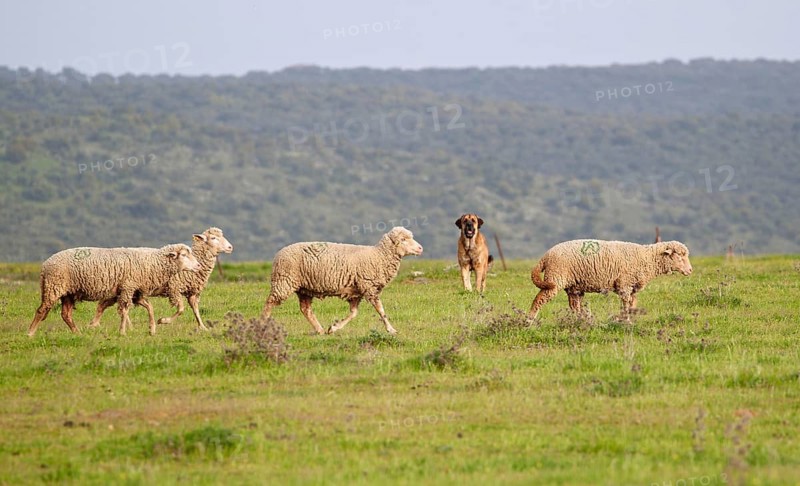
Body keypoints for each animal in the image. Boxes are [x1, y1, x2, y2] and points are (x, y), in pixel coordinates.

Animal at [27, 244, 200, 337]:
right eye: (184, 255)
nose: (198, 266)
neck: (152, 262)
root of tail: (45, 265)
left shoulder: (135, 291)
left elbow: (149, 307)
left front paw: (153, 328)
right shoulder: (127, 287)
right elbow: (124, 310)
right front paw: (122, 331)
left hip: (69, 293)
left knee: (66, 314)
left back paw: (77, 333)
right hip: (53, 287)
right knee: (41, 310)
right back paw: (30, 333)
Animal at [87, 227, 233, 331]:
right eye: (213, 238)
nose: (230, 247)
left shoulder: (192, 292)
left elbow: (195, 309)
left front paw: (202, 327)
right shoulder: (174, 288)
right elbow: (181, 309)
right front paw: (163, 321)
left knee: (105, 304)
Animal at [261, 226, 423, 335]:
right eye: (403, 240)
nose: (421, 248)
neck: (379, 256)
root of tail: (278, 254)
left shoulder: (356, 293)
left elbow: (353, 313)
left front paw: (333, 328)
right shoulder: (369, 287)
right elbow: (381, 311)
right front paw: (391, 329)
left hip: (304, 288)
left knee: (306, 309)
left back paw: (320, 330)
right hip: (284, 282)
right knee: (270, 302)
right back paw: (263, 324)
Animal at [528, 239, 692, 321]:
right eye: (679, 256)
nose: (690, 270)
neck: (648, 258)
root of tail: (546, 256)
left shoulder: (633, 287)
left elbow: (633, 303)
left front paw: (632, 317)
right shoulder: (625, 284)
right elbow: (625, 303)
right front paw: (625, 319)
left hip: (573, 286)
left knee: (574, 305)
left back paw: (580, 320)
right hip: (555, 278)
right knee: (539, 299)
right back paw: (529, 321)